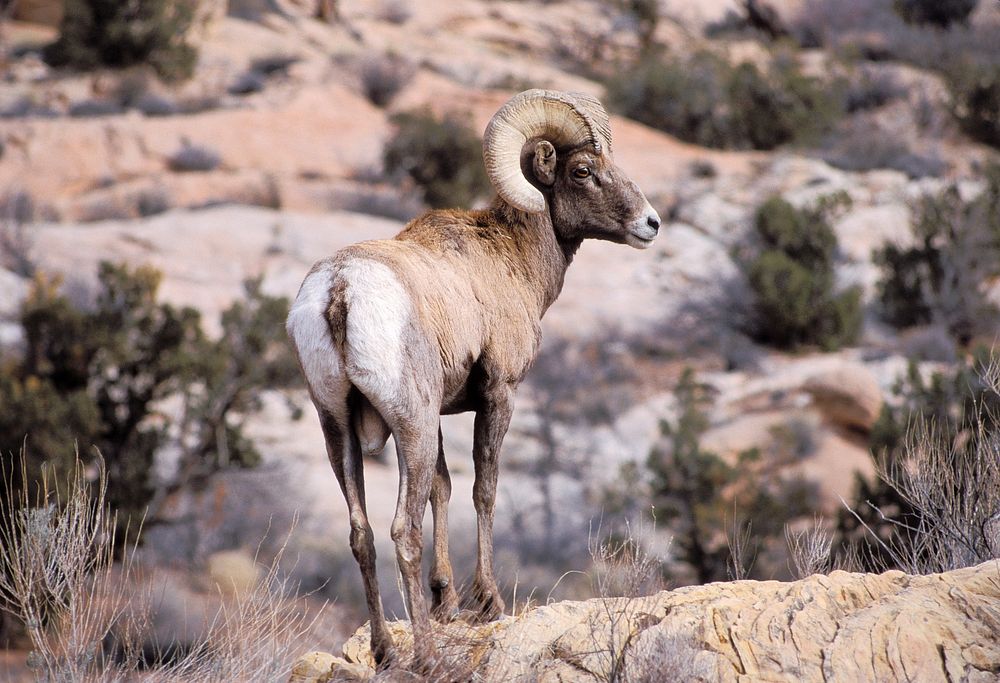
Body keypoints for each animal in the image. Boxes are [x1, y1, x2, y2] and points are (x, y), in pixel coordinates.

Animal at [286, 88, 660, 672]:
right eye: (582, 170)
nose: (651, 223)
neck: (509, 261)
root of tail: (340, 290)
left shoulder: (441, 413)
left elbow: (443, 488)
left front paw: (448, 602)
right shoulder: (497, 395)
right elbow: (484, 489)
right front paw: (488, 602)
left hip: (337, 428)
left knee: (362, 533)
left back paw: (386, 652)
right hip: (409, 426)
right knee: (402, 531)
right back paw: (424, 657)